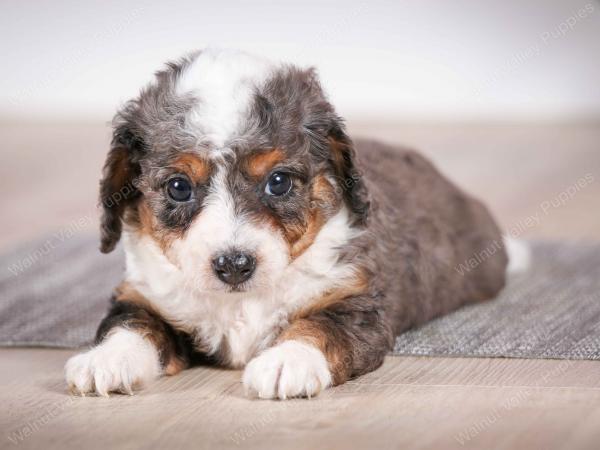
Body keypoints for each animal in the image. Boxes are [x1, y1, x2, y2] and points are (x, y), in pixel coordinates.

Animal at [64, 49, 528, 400]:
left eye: (279, 182)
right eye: (179, 187)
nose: (234, 265)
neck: (241, 302)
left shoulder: (356, 303)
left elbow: (320, 327)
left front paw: (287, 360)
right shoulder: (146, 297)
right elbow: (130, 324)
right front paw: (105, 359)